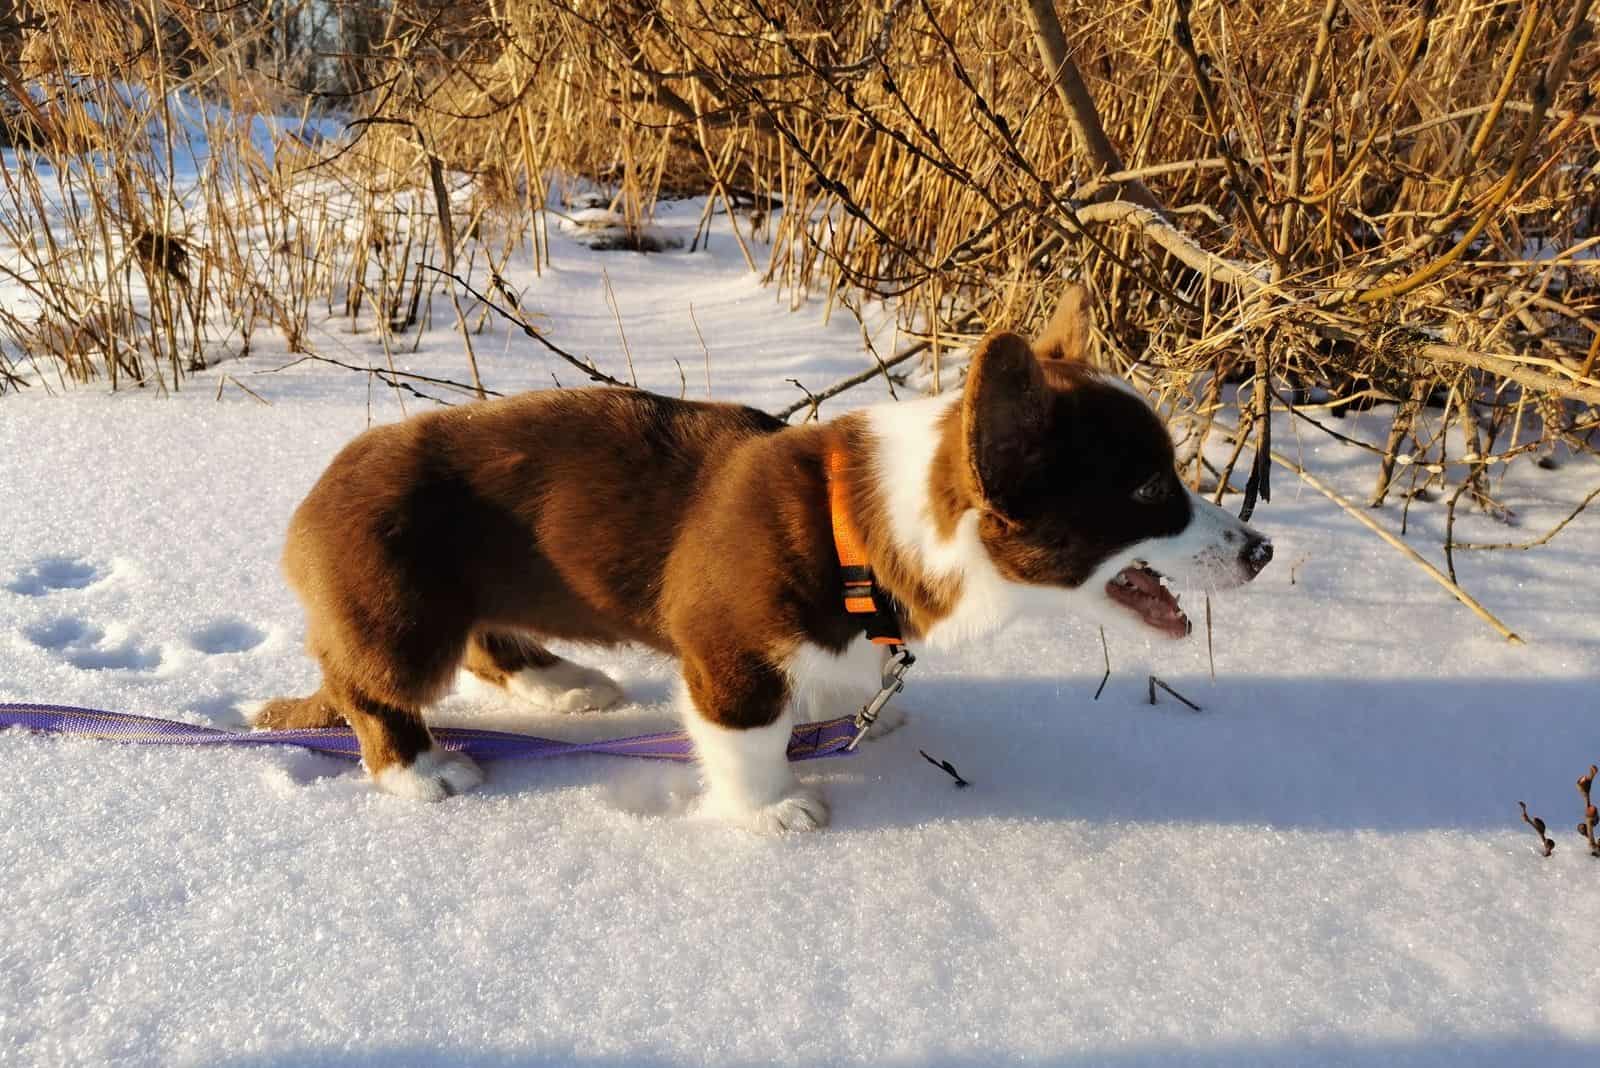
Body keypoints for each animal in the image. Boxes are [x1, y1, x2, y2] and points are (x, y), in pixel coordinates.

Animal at [256, 287, 1267, 831]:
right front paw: (774, 809)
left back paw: (566, 684)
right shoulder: (729, 649)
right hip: (399, 606)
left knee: (486, 644)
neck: (859, 529)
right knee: (372, 691)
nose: (1260, 550)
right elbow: (745, 736)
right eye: (1150, 491)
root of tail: (309, 505)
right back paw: (421, 770)